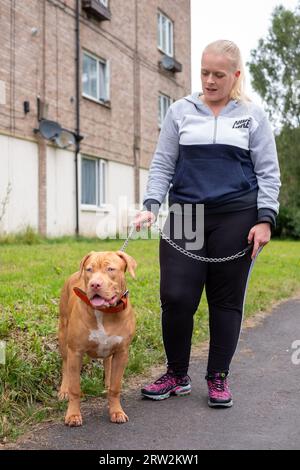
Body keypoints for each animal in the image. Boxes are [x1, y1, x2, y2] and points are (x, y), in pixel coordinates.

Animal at [57, 250, 137, 426]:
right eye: (89, 269)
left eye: (110, 269)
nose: (95, 285)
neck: (105, 313)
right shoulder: (75, 352)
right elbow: (75, 388)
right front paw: (73, 415)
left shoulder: (122, 352)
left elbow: (115, 386)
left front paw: (116, 411)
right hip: (63, 337)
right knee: (65, 365)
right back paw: (63, 390)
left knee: (108, 363)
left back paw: (106, 383)